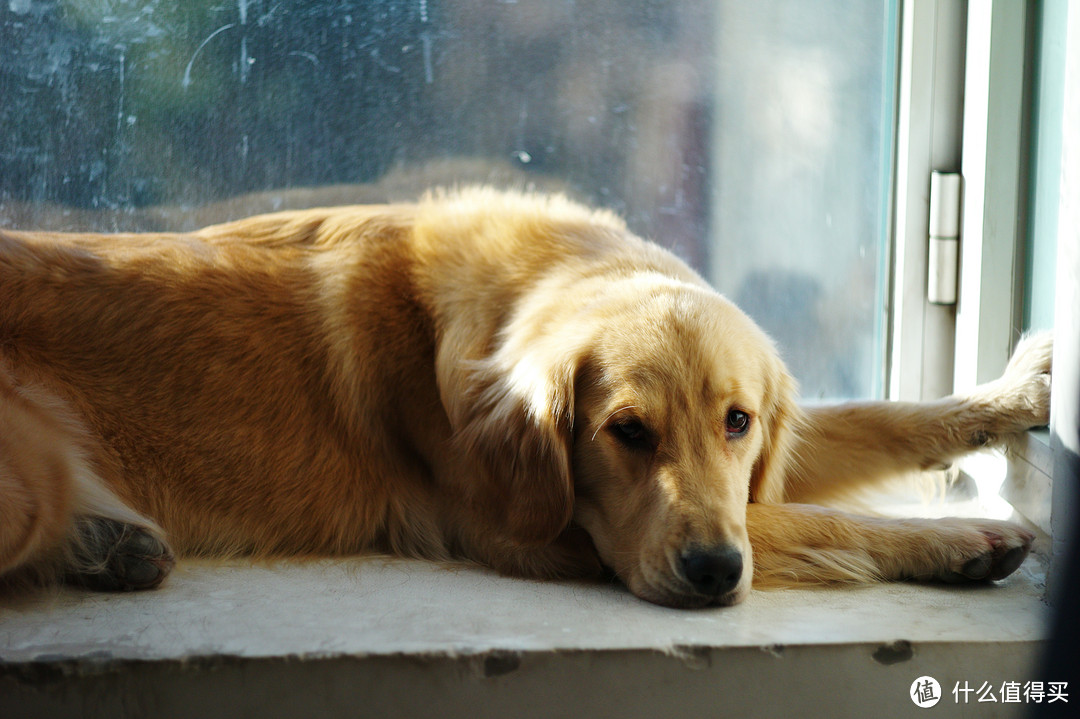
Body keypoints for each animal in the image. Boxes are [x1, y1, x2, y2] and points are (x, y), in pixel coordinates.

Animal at [0, 185, 1045, 604]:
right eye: (626, 432)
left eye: (738, 422)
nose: (713, 574)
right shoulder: (541, 532)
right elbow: (804, 521)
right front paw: (965, 537)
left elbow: (876, 417)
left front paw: (1015, 394)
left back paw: (111, 543)